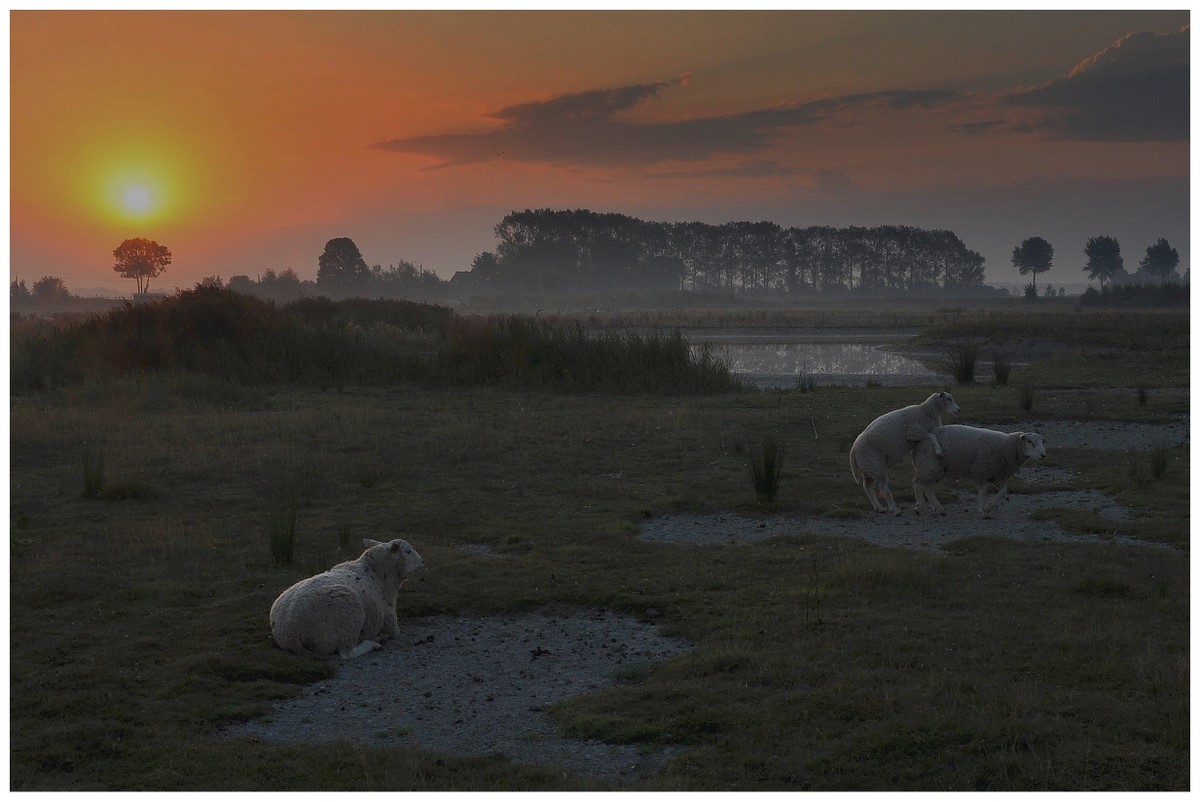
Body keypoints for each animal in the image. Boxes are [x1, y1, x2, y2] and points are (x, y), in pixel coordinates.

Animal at [272, 535, 427, 662]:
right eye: (408, 551)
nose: (422, 561)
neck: (377, 572)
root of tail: (290, 633)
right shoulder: (389, 616)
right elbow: (396, 631)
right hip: (347, 619)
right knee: (347, 653)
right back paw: (373, 643)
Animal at [912, 422, 1046, 516]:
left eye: (1041, 442)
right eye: (1030, 442)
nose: (1043, 455)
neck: (1005, 446)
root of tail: (922, 438)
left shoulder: (997, 475)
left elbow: (1004, 491)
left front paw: (989, 506)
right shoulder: (981, 472)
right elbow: (983, 493)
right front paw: (982, 510)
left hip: (936, 469)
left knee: (928, 487)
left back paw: (939, 508)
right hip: (929, 464)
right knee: (917, 483)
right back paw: (919, 507)